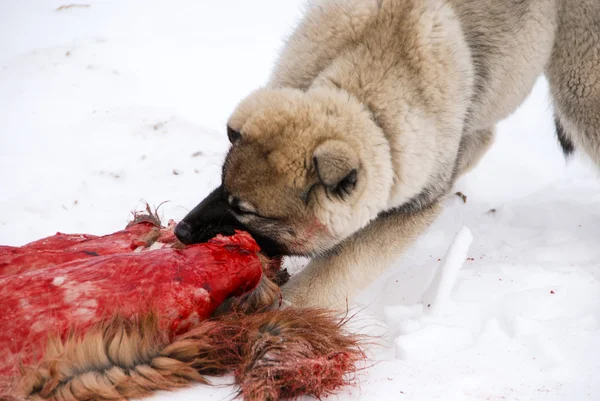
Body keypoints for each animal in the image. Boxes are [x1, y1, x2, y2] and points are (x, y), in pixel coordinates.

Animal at [175, 0, 600, 310]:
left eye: (246, 211)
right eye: (220, 187)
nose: (181, 231)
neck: (362, 93)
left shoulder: (410, 209)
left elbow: (343, 263)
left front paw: (293, 307)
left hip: (579, 84)